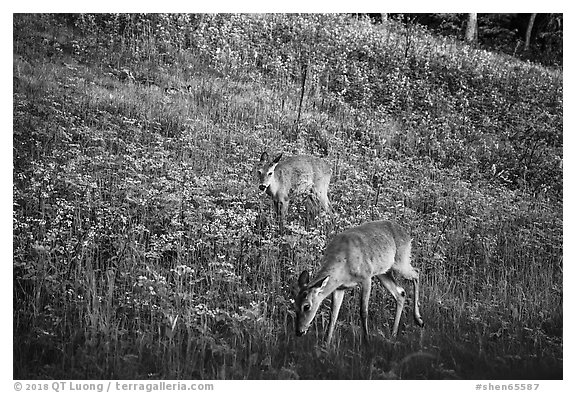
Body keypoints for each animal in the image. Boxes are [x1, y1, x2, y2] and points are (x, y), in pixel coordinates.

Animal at [296, 219, 424, 344]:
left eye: (306, 306)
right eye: (295, 304)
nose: (299, 332)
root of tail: (406, 233)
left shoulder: (366, 277)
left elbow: (363, 311)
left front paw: (367, 341)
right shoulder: (339, 288)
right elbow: (333, 315)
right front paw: (326, 344)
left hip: (400, 261)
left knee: (416, 272)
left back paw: (419, 320)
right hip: (383, 272)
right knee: (400, 293)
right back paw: (393, 335)